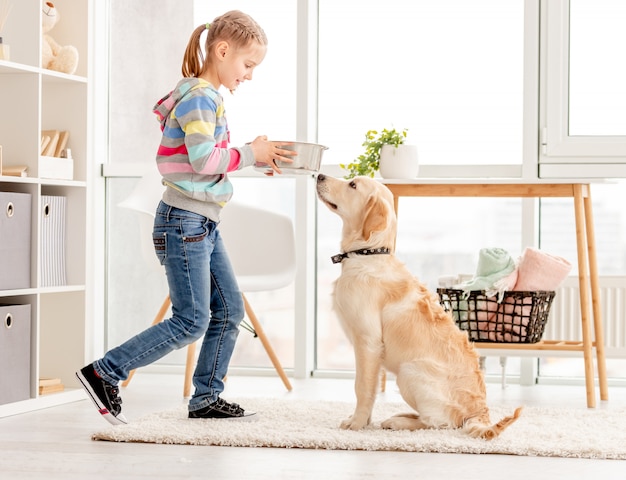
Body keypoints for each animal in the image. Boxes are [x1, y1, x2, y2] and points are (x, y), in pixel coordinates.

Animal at [314, 174, 520, 440]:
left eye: (353, 185)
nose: (319, 175)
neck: (367, 253)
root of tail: (480, 412)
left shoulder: (368, 341)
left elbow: (361, 386)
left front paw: (357, 424)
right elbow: (371, 387)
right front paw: (363, 420)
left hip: (409, 371)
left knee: (440, 423)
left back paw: (399, 422)